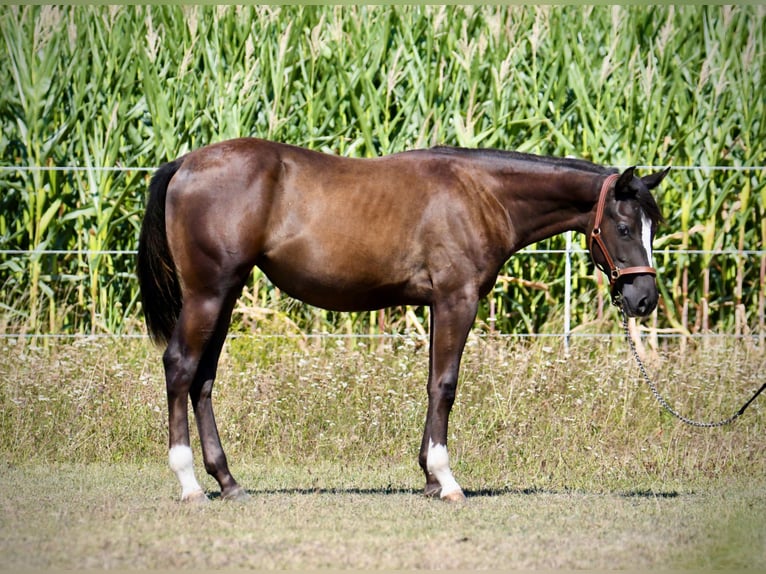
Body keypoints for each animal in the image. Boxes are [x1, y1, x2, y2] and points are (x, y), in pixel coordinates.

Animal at [137, 138, 668, 503]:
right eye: (624, 227)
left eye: (653, 228)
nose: (644, 300)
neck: (480, 194)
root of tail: (185, 164)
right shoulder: (457, 300)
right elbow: (446, 385)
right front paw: (446, 480)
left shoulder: (438, 305)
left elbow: (433, 384)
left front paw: (429, 477)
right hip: (208, 295)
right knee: (180, 367)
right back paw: (189, 483)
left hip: (224, 297)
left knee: (203, 380)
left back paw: (228, 480)